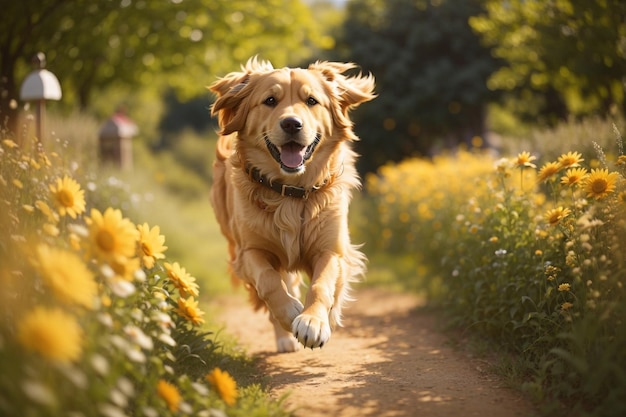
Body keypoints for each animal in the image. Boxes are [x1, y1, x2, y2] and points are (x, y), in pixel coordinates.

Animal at [210, 57, 376, 352]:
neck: (290, 193)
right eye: (270, 100)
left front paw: (315, 322)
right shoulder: (249, 251)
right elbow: (269, 282)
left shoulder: (330, 248)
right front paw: (290, 314)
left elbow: (322, 285)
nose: (291, 124)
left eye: (311, 100)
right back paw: (286, 338)